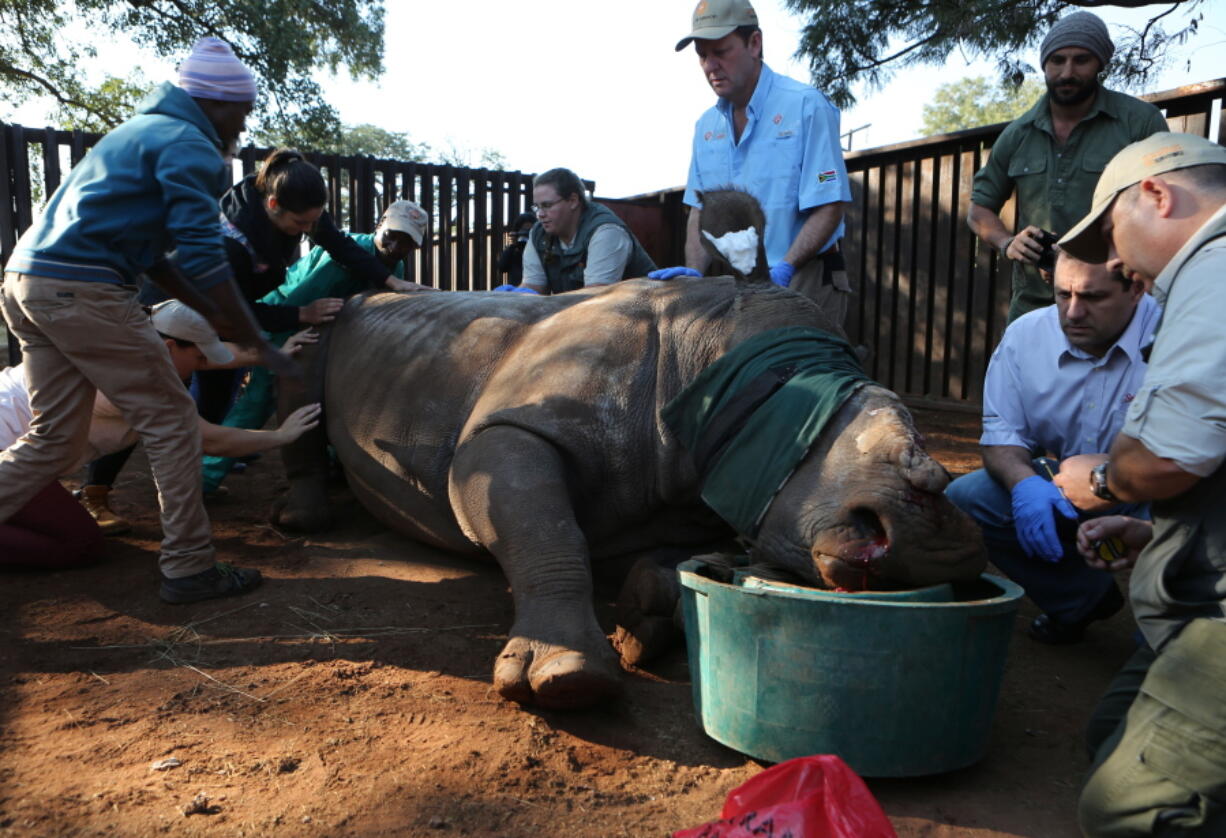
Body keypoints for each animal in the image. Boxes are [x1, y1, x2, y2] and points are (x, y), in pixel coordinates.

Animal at [278, 193, 985, 710]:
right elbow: (546, 532)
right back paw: (300, 520)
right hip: (337, 316)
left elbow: (674, 558)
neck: (713, 356)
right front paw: (568, 682)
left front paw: (645, 616)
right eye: (790, 399)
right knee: (304, 348)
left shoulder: (701, 488)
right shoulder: (508, 430)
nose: (939, 548)